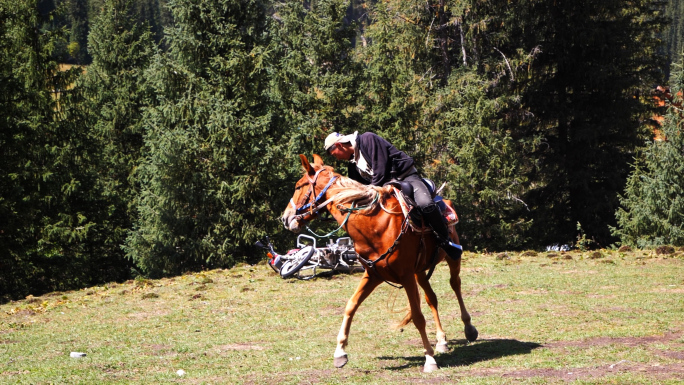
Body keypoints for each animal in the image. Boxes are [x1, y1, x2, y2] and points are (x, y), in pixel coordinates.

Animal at [280, 154, 478, 372]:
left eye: (299, 186)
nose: (285, 218)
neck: (375, 225)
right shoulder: (373, 275)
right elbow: (351, 305)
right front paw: (340, 352)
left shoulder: (406, 276)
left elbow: (418, 317)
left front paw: (429, 359)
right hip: (419, 271)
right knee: (431, 298)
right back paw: (442, 340)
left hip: (452, 258)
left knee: (455, 284)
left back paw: (469, 328)